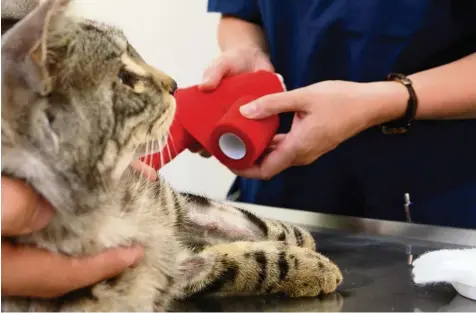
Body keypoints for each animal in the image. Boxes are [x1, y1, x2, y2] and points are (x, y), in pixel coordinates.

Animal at [0, 1, 342, 310]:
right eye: (125, 78)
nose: (175, 84)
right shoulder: (172, 275)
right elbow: (247, 262)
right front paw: (313, 268)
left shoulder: (173, 203)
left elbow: (247, 222)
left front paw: (304, 243)